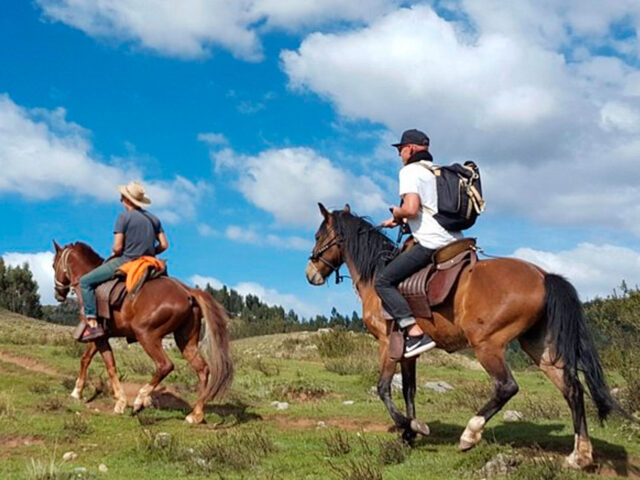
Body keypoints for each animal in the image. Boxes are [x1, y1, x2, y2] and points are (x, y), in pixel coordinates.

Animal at [52, 242, 232, 422]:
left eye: (54, 265)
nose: (58, 294)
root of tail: (188, 292)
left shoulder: (100, 336)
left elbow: (109, 365)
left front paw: (120, 402)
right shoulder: (101, 335)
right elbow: (86, 359)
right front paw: (77, 392)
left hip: (146, 335)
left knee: (165, 365)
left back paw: (140, 400)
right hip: (185, 340)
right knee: (203, 369)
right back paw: (196, 414)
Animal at [304, 203, 620, 468]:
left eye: (319, 235)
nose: (310, 273)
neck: (376, 275)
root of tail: (543, 275)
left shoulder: (387, 344)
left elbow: (383, 389)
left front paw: (410, 427)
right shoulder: (408, 352)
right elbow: (408, 390)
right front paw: (410, 432)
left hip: (486, 344)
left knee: (507, 387)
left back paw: (470, 434)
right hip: (538, 347)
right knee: (572, 389)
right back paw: (580, 455)